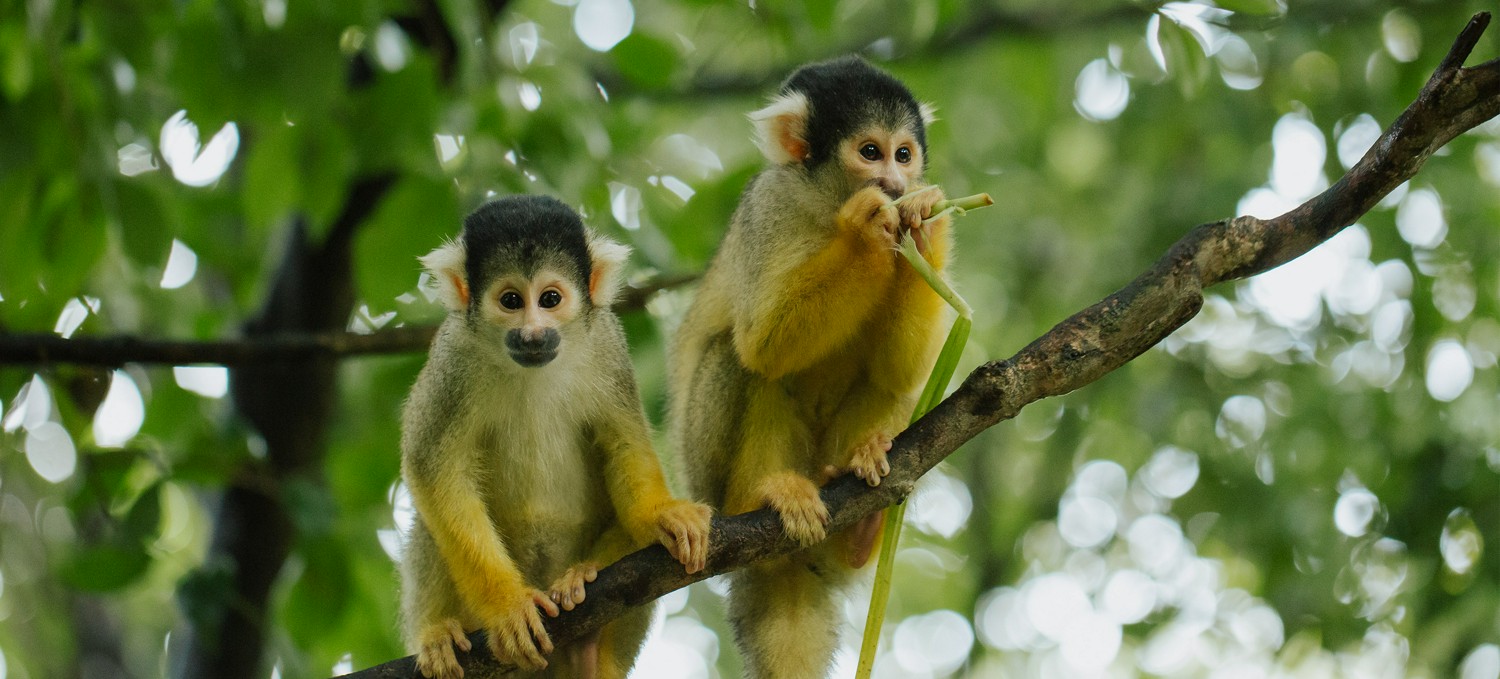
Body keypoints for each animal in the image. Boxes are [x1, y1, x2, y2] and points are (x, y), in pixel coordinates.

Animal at [399, 195, 713, 679]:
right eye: (511, 300)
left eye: (550, 299)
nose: (533, 334)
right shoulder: (453, 357)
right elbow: (432, 466)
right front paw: (507, 607)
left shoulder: (607, 343)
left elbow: (623, 440)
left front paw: (662, 515)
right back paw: (437, 635)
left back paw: (585, 618)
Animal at [668, 55, 954, 678]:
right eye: (870, 152)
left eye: (904, 155)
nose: (895, 186)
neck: (824, 206)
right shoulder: (768, 206)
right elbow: (763, 343)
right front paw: (864, 226)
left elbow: (899, 372)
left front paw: (925, 220)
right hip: (705, 473)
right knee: (739, 359)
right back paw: (763, 496)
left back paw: (863, 501)